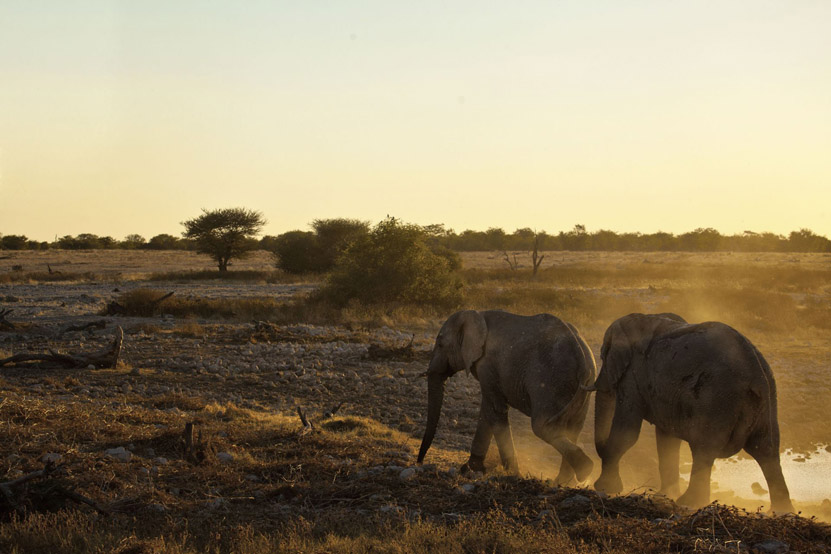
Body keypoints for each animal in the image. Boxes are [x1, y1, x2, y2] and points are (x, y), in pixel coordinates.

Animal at [416, 308, 600, 480]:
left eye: (440, 344)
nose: (419, 462)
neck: (477, 314)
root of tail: (582, 356)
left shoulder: (487, 363)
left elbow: (495, 410)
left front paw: (511, 473)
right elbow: (487, 411)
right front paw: (470, 469)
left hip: (550, 380)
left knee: (543, 426)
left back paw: (584, 470)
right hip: (581, 386)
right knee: (573, 428)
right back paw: (563, 482)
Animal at [592, 312, 792, 512]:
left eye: (602, 356)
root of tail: (756, 372)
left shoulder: (632, 376)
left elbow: (627, 432)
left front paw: (605, 488)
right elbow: (667, 441)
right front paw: (663, 496)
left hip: (716, 400)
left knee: (704, 450)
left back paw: (689, 502)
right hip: (768, 399)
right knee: (766, 451)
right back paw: (781, 511)